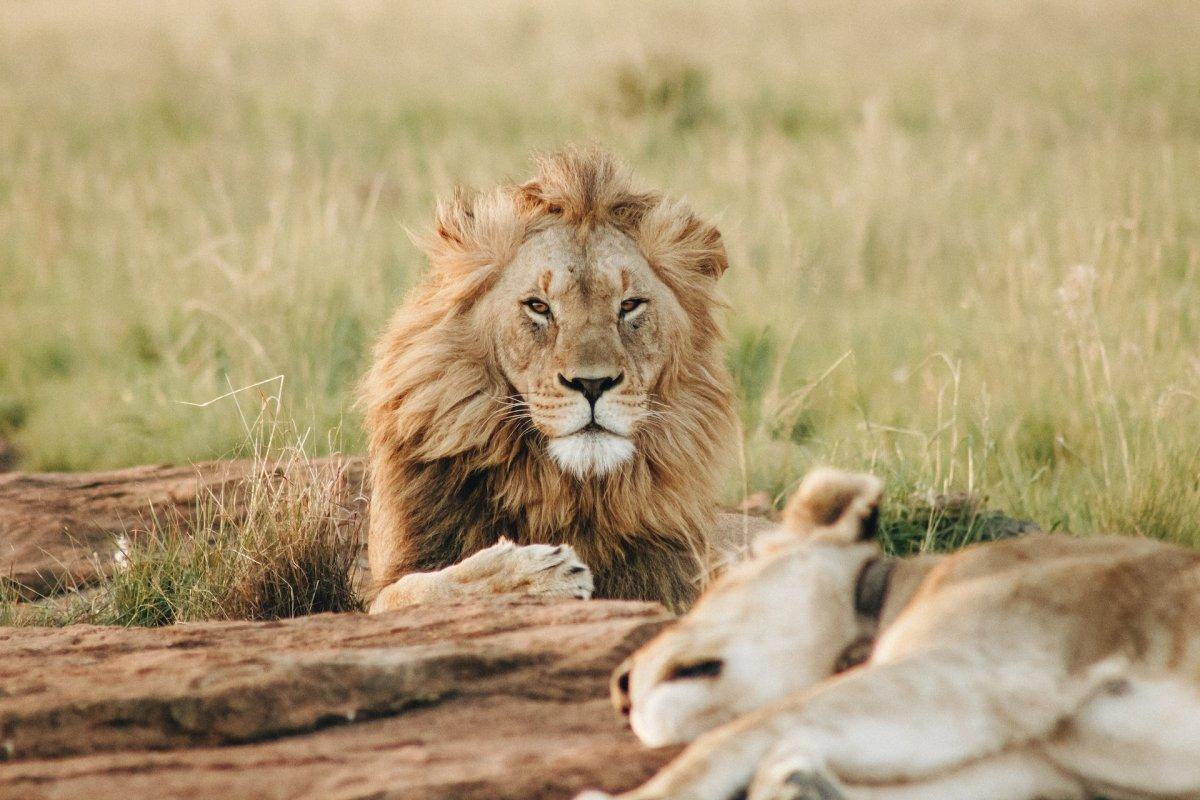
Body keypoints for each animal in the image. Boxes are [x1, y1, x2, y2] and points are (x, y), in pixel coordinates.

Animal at [360, 148, 768, 614]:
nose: (592, 384)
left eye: (630, 305)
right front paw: (534, 575)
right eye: (538, 306)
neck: (565, 491)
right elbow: (418, 589)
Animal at [580, 470, 1200, 800]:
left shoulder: (983, 667)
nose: (618, 685)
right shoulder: (1036, 770)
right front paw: (799, 782)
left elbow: (735, 734)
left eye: (712, 590)